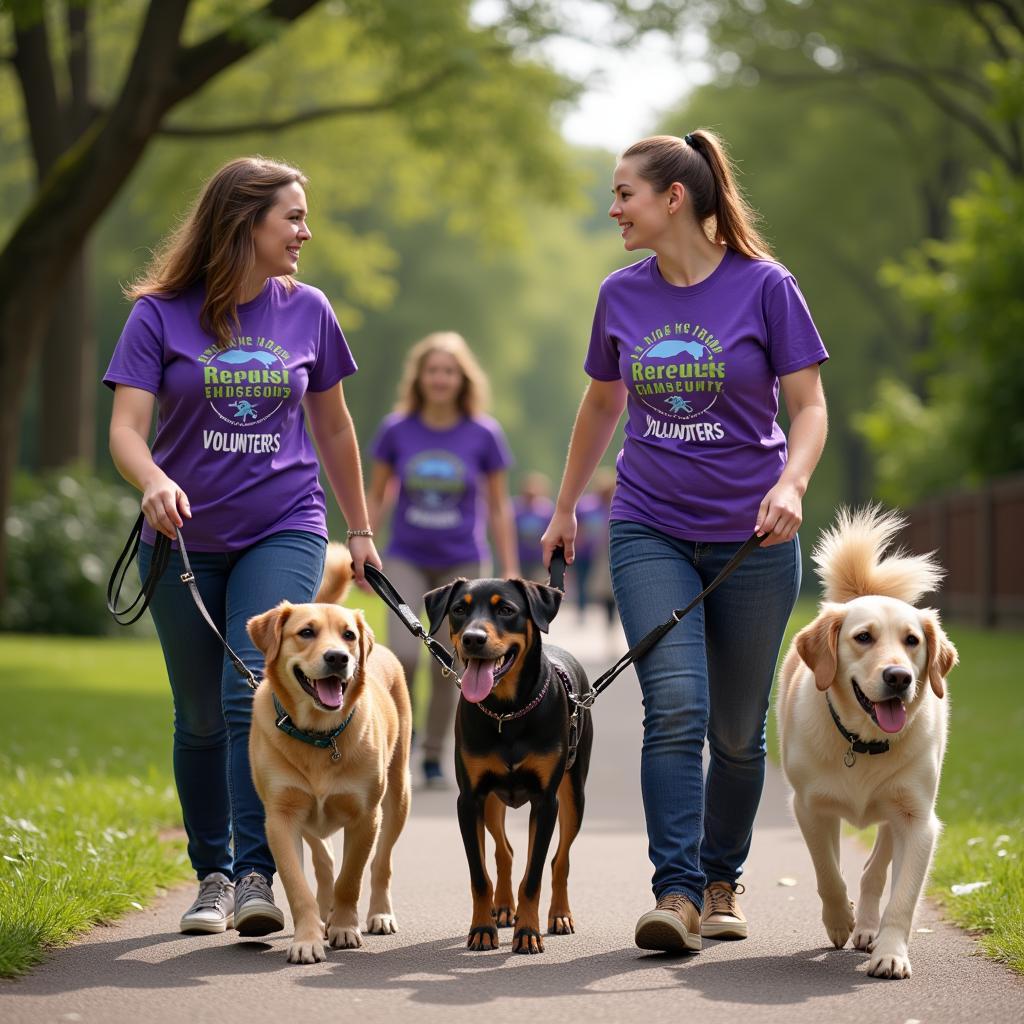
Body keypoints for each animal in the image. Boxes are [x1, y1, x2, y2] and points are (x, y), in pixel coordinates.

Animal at [245, 548, 409, 962]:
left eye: (348, 635)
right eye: (306, 632)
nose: (338, 657)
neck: (319, 736)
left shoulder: (366, 816)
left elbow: (352, 877)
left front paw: (345, 928)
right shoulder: (281, 817)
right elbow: (297, 884)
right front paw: (308, 937)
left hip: (399, 795)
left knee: (382, 863)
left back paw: (379, 913)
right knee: (324, 860)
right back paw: (324, 912)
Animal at [423, 577, 598, 950]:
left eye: (506, 609)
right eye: (459, 609)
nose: (474, 638)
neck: (508, 711)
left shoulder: (546, 801)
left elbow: (535, 874)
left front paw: (529, 932)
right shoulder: (469, 799)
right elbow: (479, 874)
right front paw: (481, 928)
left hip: (574, 794)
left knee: (559, 859)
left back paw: (559, 914)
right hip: (492, 802)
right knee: (505, 851)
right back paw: (503, 908)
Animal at [778, 507, 954, 978]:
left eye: (912, 640)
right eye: (863, 637)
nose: (899, 677)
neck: (864, 743)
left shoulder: (918, 821)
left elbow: (903, 899)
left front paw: (890, 953)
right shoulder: (808, 807)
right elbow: (827, 873)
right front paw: (840, 920)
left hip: (896, 810)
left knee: (874, 871)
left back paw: (869, 929)